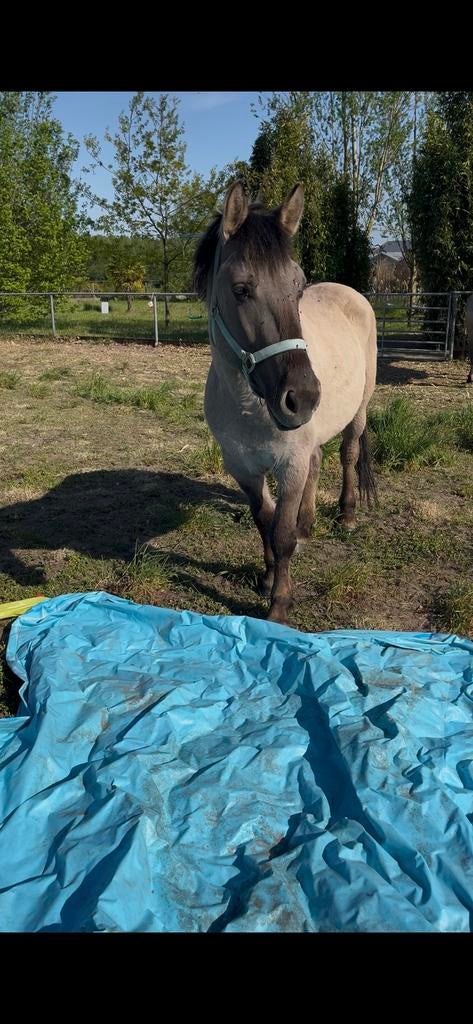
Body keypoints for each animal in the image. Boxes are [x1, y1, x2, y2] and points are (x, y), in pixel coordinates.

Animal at [193, 182, 378, 626]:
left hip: (359, 411)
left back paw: (346, 515)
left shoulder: (288, 464)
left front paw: (278, 605)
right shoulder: (242, 466)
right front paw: (265, 577)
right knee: (318, 462)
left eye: (297, 286)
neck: (249, 404)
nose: (304, 397)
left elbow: (282, 534)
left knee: (347, 454)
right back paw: (309, 524)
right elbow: (264, 519)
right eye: (241, 290)